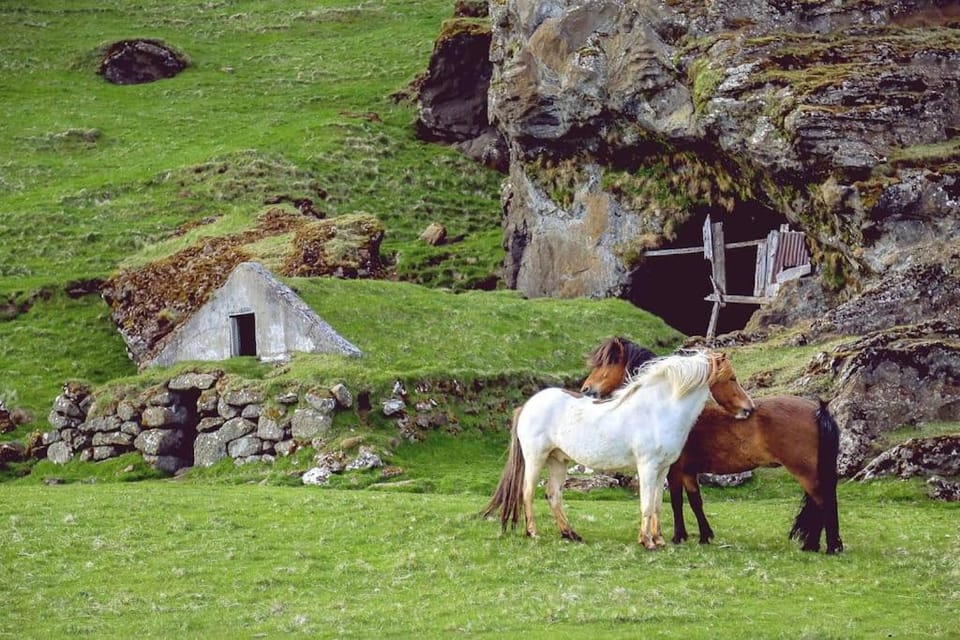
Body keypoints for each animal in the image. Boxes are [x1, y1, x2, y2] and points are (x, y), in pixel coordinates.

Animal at [482, 350, 754, 549]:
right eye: (731, 378)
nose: (749, 409)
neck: (658, 411)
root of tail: (527, 405)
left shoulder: (663, 469)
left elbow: (657, 503)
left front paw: (659, 539)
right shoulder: (647, 467)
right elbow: (646, 504)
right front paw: (647, 542)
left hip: (558, 461)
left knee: (553, 495)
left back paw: (570, 534)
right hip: (535, 458)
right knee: (528, 492)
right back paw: (533, 532)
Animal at [581, 337, 843, 554]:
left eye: (605, 364)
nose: (585, 389)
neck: (667, 406)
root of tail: (818, 409)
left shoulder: (674, 470)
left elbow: (676, 501)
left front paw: (679, 537)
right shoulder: (687, 471)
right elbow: (695, 501)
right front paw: (704, 536)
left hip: (805, 472)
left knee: (823, 502)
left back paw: (827, 546)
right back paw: (816, 545)